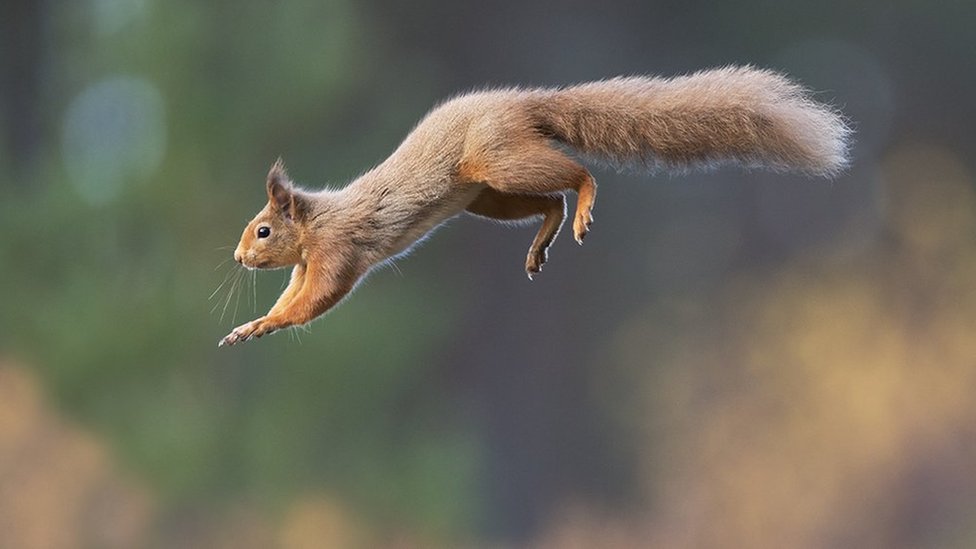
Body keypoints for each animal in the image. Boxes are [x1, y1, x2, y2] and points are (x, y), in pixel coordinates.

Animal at [217, 66, 852, 344]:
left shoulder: (337, 252)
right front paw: (255, 321)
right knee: (548, 201)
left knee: (576, 176)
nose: (239, 257)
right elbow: (294, 296)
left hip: (497, 164)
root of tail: (523, 104)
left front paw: (261, 325)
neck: (316, 221)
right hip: (489, 196)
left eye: (263, 231)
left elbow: (315, 301)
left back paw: (585, 204)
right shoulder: (307, 262)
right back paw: (542, 242)